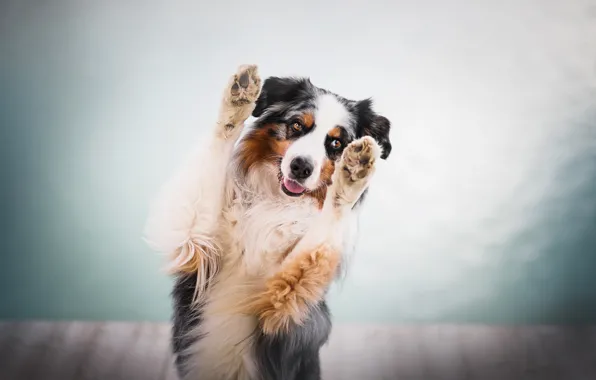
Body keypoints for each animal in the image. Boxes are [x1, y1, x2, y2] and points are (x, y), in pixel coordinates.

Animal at [146, 63, 392, 378]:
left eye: (336, 143)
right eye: (297, 125)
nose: (301, 167)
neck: (277, 201)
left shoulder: (279, 301)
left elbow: (328, 222)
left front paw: (352, 175)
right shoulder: (197, 243)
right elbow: (217, 148)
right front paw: (237, 100)